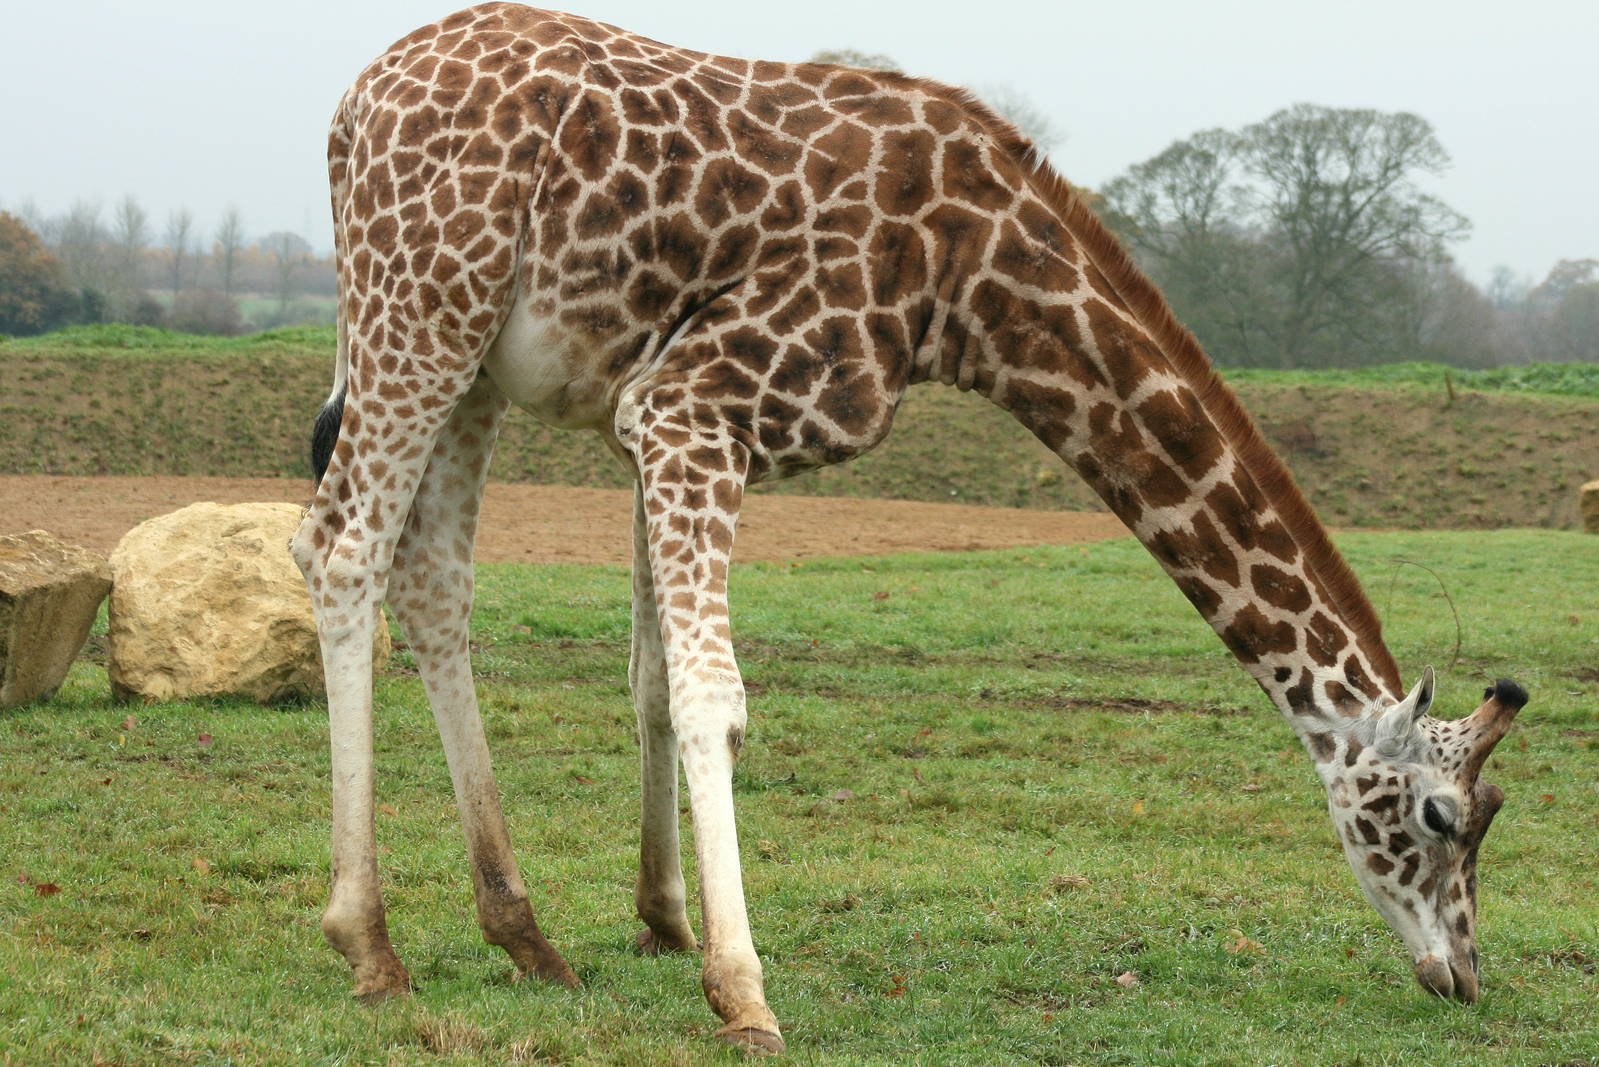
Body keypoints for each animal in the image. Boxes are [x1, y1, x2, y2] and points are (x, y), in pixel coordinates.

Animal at [291, 3, 1527, 1052]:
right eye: (1437, 815)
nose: (1464, 975)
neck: (974, 286)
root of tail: (352, 110)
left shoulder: (649, 419)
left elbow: (649, 675)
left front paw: (662, 921)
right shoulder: (696, 404)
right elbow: (711, 696)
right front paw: (742, 990)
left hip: (472, 360)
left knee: (431, 583)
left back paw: (523, 933)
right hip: (423, 308)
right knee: (338, 549)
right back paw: (369, 945)